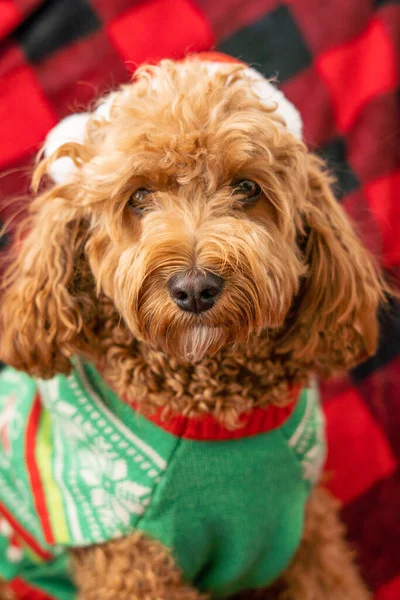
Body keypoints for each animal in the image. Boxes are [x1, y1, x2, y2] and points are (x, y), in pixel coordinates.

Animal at [0, 54, 386, 596]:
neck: (210, 414)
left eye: (247, 187)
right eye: (139, 195)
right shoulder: (132, 561)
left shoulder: (307, 529)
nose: (195, 287)